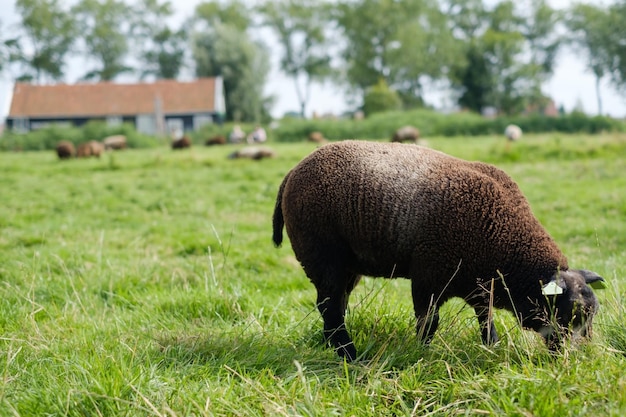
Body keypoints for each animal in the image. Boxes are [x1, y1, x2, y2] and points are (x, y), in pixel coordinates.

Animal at [270, 141, 604, 360]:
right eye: (571, 314)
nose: (583, 358)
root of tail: (292, 171)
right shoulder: (429, 277)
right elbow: (428, 323)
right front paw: (422, 354)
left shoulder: (478, 283)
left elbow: (486, 319)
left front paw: (491, 346)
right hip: (322, 256)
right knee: (329, 306)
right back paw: (349, 354)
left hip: (346, 265)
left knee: (335, 305)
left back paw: (335, 347)